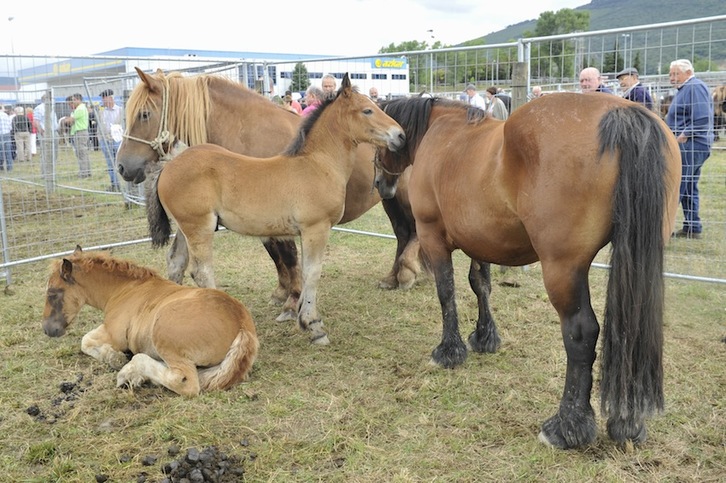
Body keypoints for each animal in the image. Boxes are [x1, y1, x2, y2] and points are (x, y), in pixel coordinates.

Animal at [42, 248, 258, 396]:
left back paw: (130, 372)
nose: (47, 329)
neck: (125, 289)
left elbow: (85, 340)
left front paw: (114, 358)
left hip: (163, 332)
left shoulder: (114, 334)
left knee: (183, 381)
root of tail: (242, 325)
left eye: (52, 292)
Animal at [376, 93, 684, 450]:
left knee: (580, 333)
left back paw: (566, 426)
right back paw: (627, 423)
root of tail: (622, 113)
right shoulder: (480, 241)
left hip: (562, 267)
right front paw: (485, 337)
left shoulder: (432, 236)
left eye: (379, 139)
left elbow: (446, 291)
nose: (379, 184)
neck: (442, 132)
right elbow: (480, 285)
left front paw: (449, 351)